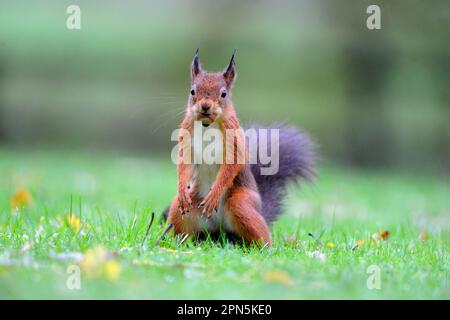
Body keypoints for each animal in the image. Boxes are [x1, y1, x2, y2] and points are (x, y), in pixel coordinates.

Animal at [166, 49, 316, 248]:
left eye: (223, 94)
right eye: (192, 91)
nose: (205, 106)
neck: (207, 124)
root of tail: (219, 230)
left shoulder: (234, 140)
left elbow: (232, 164)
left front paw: (214, 194)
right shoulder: (187, 135)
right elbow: (184, 163)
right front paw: (182, 188)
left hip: (242, 204)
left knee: (261, 234)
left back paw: (267, 247)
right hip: (182, 210)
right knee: (182, 223)